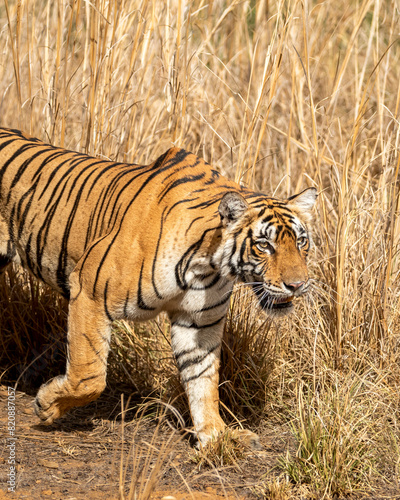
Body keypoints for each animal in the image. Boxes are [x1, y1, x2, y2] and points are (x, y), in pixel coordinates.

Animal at [0, 127, 318, 448]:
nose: (297, 285)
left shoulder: (199, 321)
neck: (206, 263)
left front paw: (215, 435)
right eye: (264, 245)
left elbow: (203, 379)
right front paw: (47, 404)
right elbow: (89, 374)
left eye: (301, 241)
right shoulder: (89, 289)